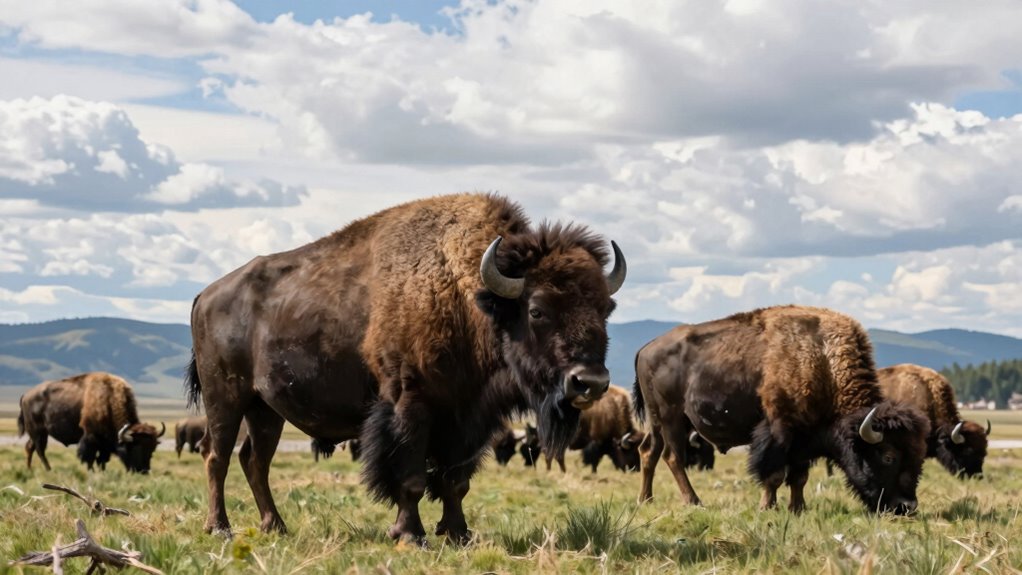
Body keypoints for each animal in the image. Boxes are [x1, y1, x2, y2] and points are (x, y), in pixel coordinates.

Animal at [18, 372, 166, 473]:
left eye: (152, 449)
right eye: (135, 447)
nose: (144, 471)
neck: (108, 400)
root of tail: (26, 395)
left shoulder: (105, 443)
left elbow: (102, 459)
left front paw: (102, 472)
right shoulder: (90, 438)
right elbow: (89, 457)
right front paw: (92, 472)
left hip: (38, 433)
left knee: (30, 447)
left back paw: (29, 469)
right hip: (38, 432)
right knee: (40, 450)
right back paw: (49, 470)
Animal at [186, 193, 625, 541]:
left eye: (606, 309)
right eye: (537, 310)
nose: (590, 383)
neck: (469, 298)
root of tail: (205, 294)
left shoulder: (468, 418)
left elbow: (455, 481)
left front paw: (458, 533)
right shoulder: (410, 405)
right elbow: (411, 479)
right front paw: (410, 535)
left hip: (265, 409)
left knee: (254, 460)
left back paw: (275, 526)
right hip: (226, 398)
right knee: (217, 456)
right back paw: (220, 528)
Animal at [633, 305, 929, 514]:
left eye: (918, 456)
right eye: (888, 456)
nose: (907, 507)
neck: (821, 359)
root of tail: (646, 348)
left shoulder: (804, 439)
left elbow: (799, 477)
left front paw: (798, 508)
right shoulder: (779, 431)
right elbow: (774, 474)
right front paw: (768, 507)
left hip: (658, 421)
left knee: (649, 451)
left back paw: (645, 500)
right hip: (671, 417)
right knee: (673, 457)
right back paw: (693, 501)